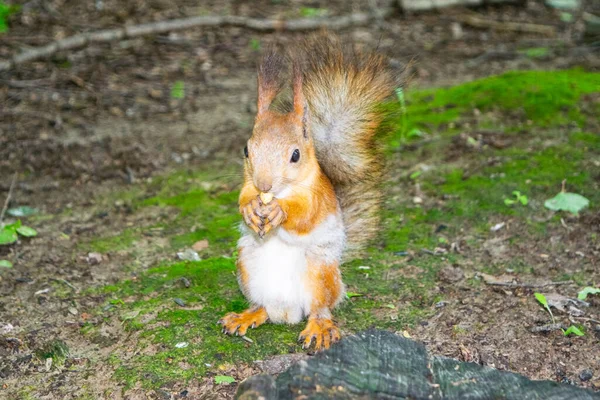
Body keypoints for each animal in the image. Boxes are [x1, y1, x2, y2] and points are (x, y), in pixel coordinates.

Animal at [218, 33, 396, 350]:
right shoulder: (247, 184)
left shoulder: (317, 196)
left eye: (295, 155)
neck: (283, 190)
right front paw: (251, 209)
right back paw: (246, 316)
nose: (264, 185)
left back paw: (319, 326)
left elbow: (305, 215)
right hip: (247, 266)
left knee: (320, 308)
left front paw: (280, 212)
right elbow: (242, 198)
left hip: (319, 272)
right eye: (246, 150)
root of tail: (287, 311)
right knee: (262, 307)